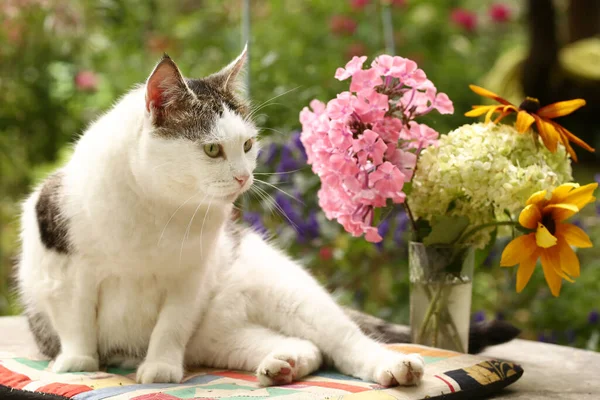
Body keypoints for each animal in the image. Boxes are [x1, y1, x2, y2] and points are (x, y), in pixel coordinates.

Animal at [16, 47, 424, 388]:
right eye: (212, 149)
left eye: (247, 145)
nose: (244, 176)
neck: (158, 207)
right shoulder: (62, 269)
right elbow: (76, 320)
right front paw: (79, 362)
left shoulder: (190, 279)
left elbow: (169, 327)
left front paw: (160, 367)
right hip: (221, 339)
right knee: (307, 347)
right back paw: (283, 363)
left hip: (292, 295)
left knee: (347, 342)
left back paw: (396, 368)